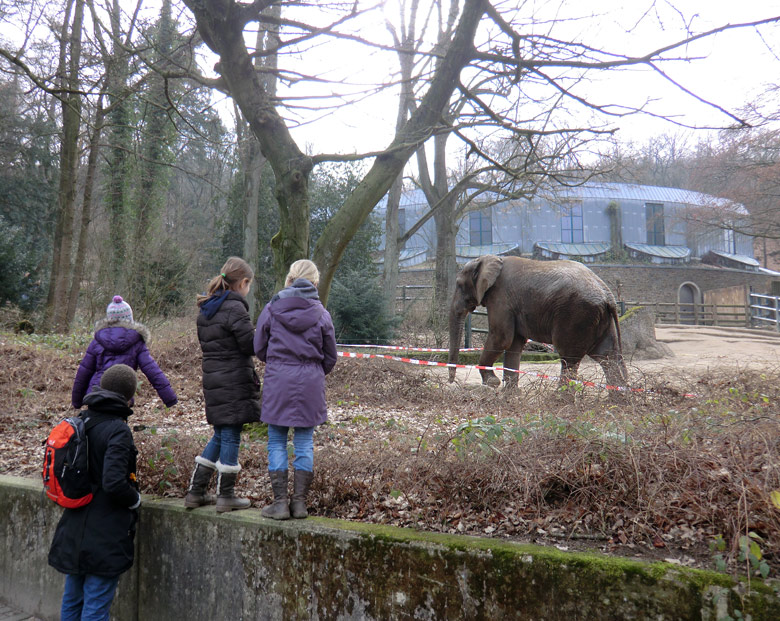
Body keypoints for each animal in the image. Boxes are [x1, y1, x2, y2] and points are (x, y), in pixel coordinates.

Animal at [448, 254, 624, 390]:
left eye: (459, 284)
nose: (451, 381)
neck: (491, 259)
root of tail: (609, 296)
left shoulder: (501, 298)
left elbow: (501, 338)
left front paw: (492, 383)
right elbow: (514, 343)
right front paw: (509, 394)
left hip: (577, 316)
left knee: (569, 358)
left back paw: (558, 400)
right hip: (600, 320)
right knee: (608, 357)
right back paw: (617, 401)